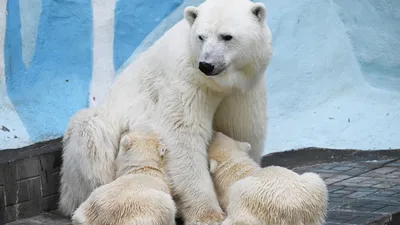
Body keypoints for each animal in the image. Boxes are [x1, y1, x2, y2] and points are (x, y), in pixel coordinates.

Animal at [58, 0, 272, 222]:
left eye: (226, 36)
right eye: (201, 36)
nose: (206, 64)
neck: (217, 84)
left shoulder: (243, 89)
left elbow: (242, 128)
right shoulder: (186, 79)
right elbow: (183, 133)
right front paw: (208, 214)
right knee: (89, 131)